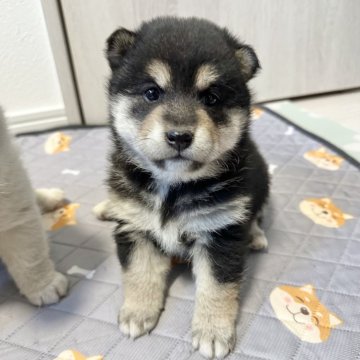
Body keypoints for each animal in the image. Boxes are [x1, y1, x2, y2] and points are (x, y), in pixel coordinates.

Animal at [94, 17, 268, 360]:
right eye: (152, 93)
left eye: (211, 98)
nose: (179, 136)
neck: (173, 188)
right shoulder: (135, 229)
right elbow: (139, 273)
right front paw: (137, 312)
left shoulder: (221, 234)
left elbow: (216, 288)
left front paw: (213, 332)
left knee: (256, 213)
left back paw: (255, 235)